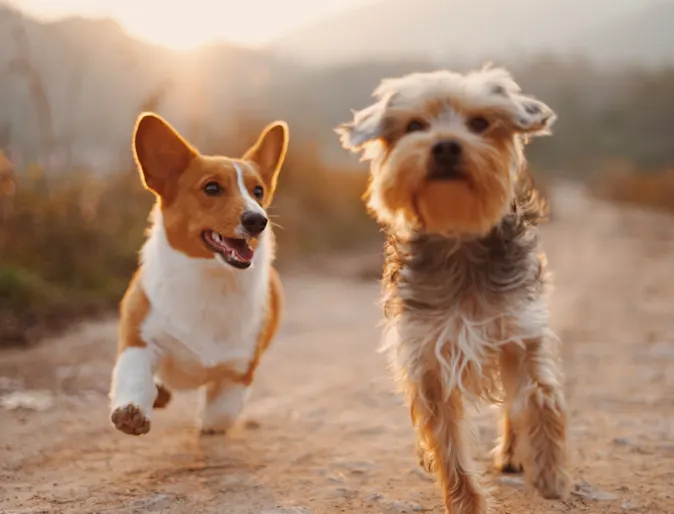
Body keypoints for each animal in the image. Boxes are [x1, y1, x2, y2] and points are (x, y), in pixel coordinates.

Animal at [109, 113, 288, 436]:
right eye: (212, 188)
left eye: (258, 192)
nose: (258, 220)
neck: (210, 278)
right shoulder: (140, 339)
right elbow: (135, 376)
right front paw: (132, 411)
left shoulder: (239, 371)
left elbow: (220, 414)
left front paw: (208, 423)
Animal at [336, 66, 568, 510]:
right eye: (414, 126)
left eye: (479, 123)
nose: (445, 145)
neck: (458, 236)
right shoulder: (427, 355)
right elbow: (447, 442)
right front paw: (467, 503)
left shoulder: (519, 329)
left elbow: (540, 395)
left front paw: (549, 471)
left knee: (513, 403)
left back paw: (514, 452)